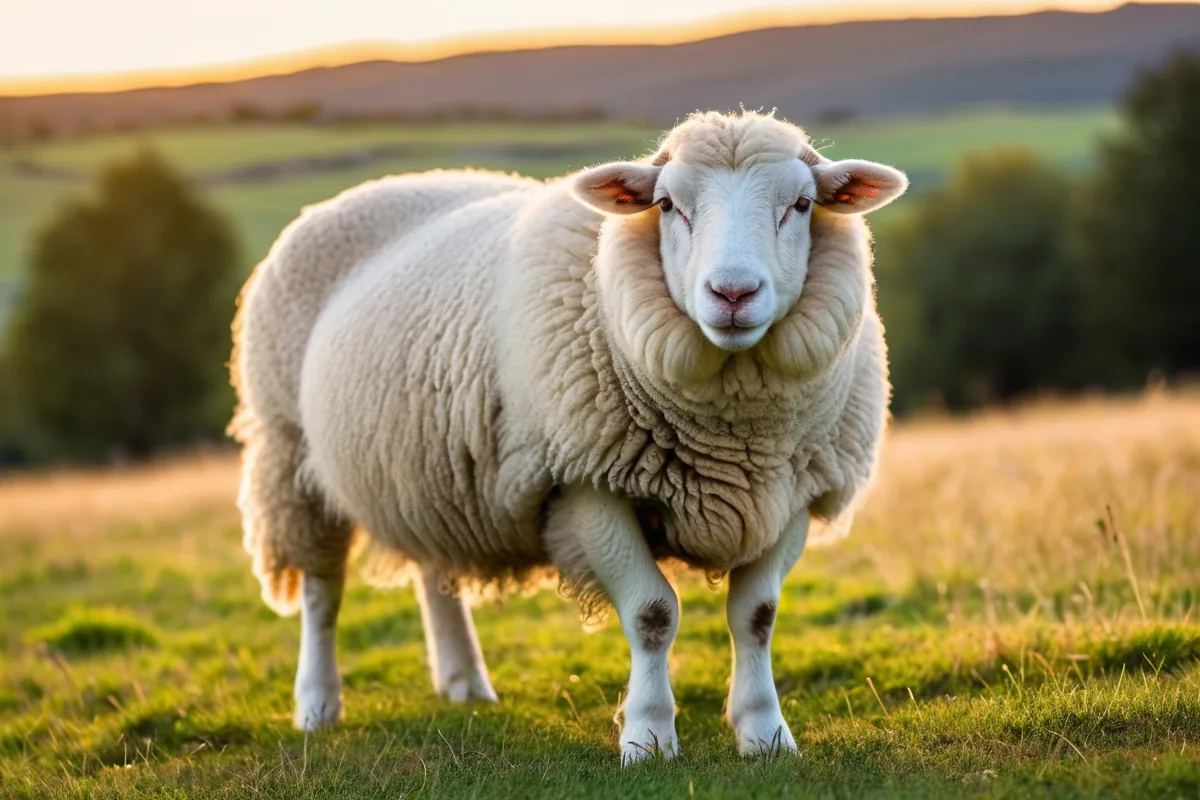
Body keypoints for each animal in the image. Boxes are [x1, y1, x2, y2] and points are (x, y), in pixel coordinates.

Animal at [229, 110, 907, 763]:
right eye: (668, 206)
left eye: (802, 204)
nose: (733, 293)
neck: (739, 437)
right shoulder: (585, 486)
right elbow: (653, 614)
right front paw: (648, 739)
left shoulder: (793, 496)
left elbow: (757, 619)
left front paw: (766, 735)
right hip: (291, 456)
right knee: (322, 593)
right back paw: (318, 705)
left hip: (426, 474)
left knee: (434, 574)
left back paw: (464, 683)